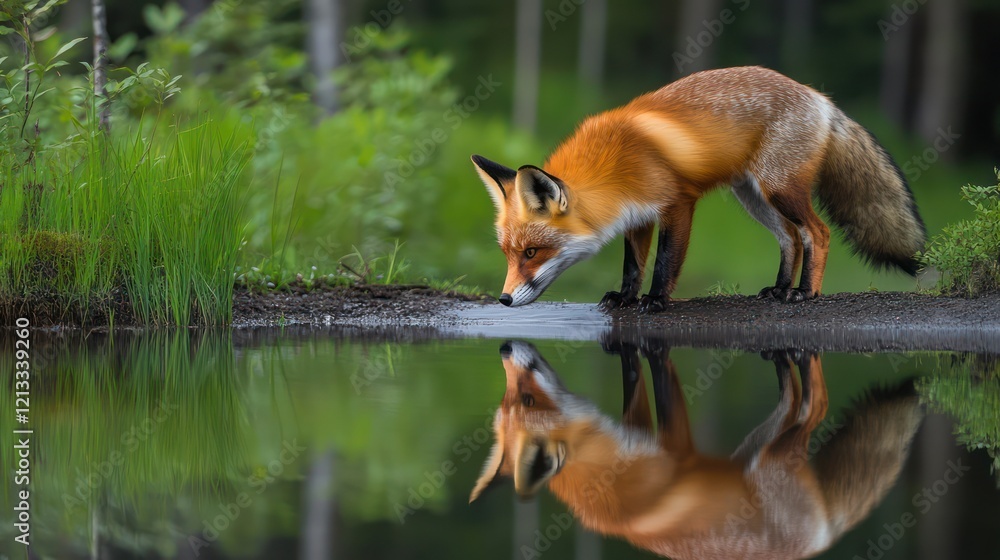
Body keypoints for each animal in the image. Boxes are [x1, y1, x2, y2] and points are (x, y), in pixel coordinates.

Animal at [469, 340, 924, 560]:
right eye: (507, 398)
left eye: (526, 399)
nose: (503, 349)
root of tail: (825, 537)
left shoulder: (673, 448)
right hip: (755, 451)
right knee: (801, 411)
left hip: (764, 458)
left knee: (809, 408)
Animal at [471, 66, 926, 312]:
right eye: (509, 254)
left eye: (532, 253)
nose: (504, 300)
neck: (615, 165)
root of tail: (821, 98)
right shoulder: (637, 216)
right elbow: (632, 265)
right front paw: (625, 298)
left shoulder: (678, 204)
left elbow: (664, 262)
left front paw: (656, 301)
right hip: (754, 198)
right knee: (792, 238)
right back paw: (780, 289)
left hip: (779, 190)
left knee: (818, 232)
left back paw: (804, 292)